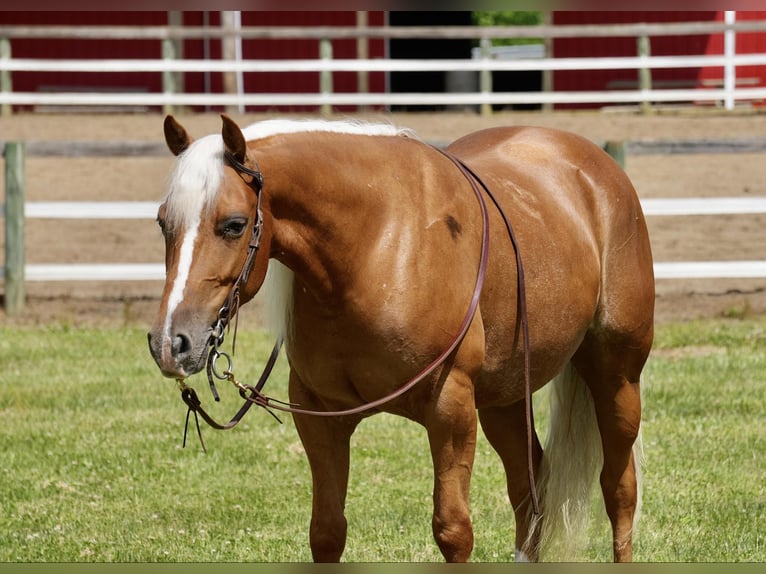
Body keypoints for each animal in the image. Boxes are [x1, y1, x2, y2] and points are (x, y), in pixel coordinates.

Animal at [148, 115, 656, 564]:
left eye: (234, 224)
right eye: (162, 223)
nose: (171, 342)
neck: (376, 245)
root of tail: (599, 169)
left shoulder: (451, 409)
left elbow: (453, 530)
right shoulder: (319, 415)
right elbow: (326, 532)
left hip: (616, 378)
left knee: (619, 489)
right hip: (505, 396)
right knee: (529, 490)